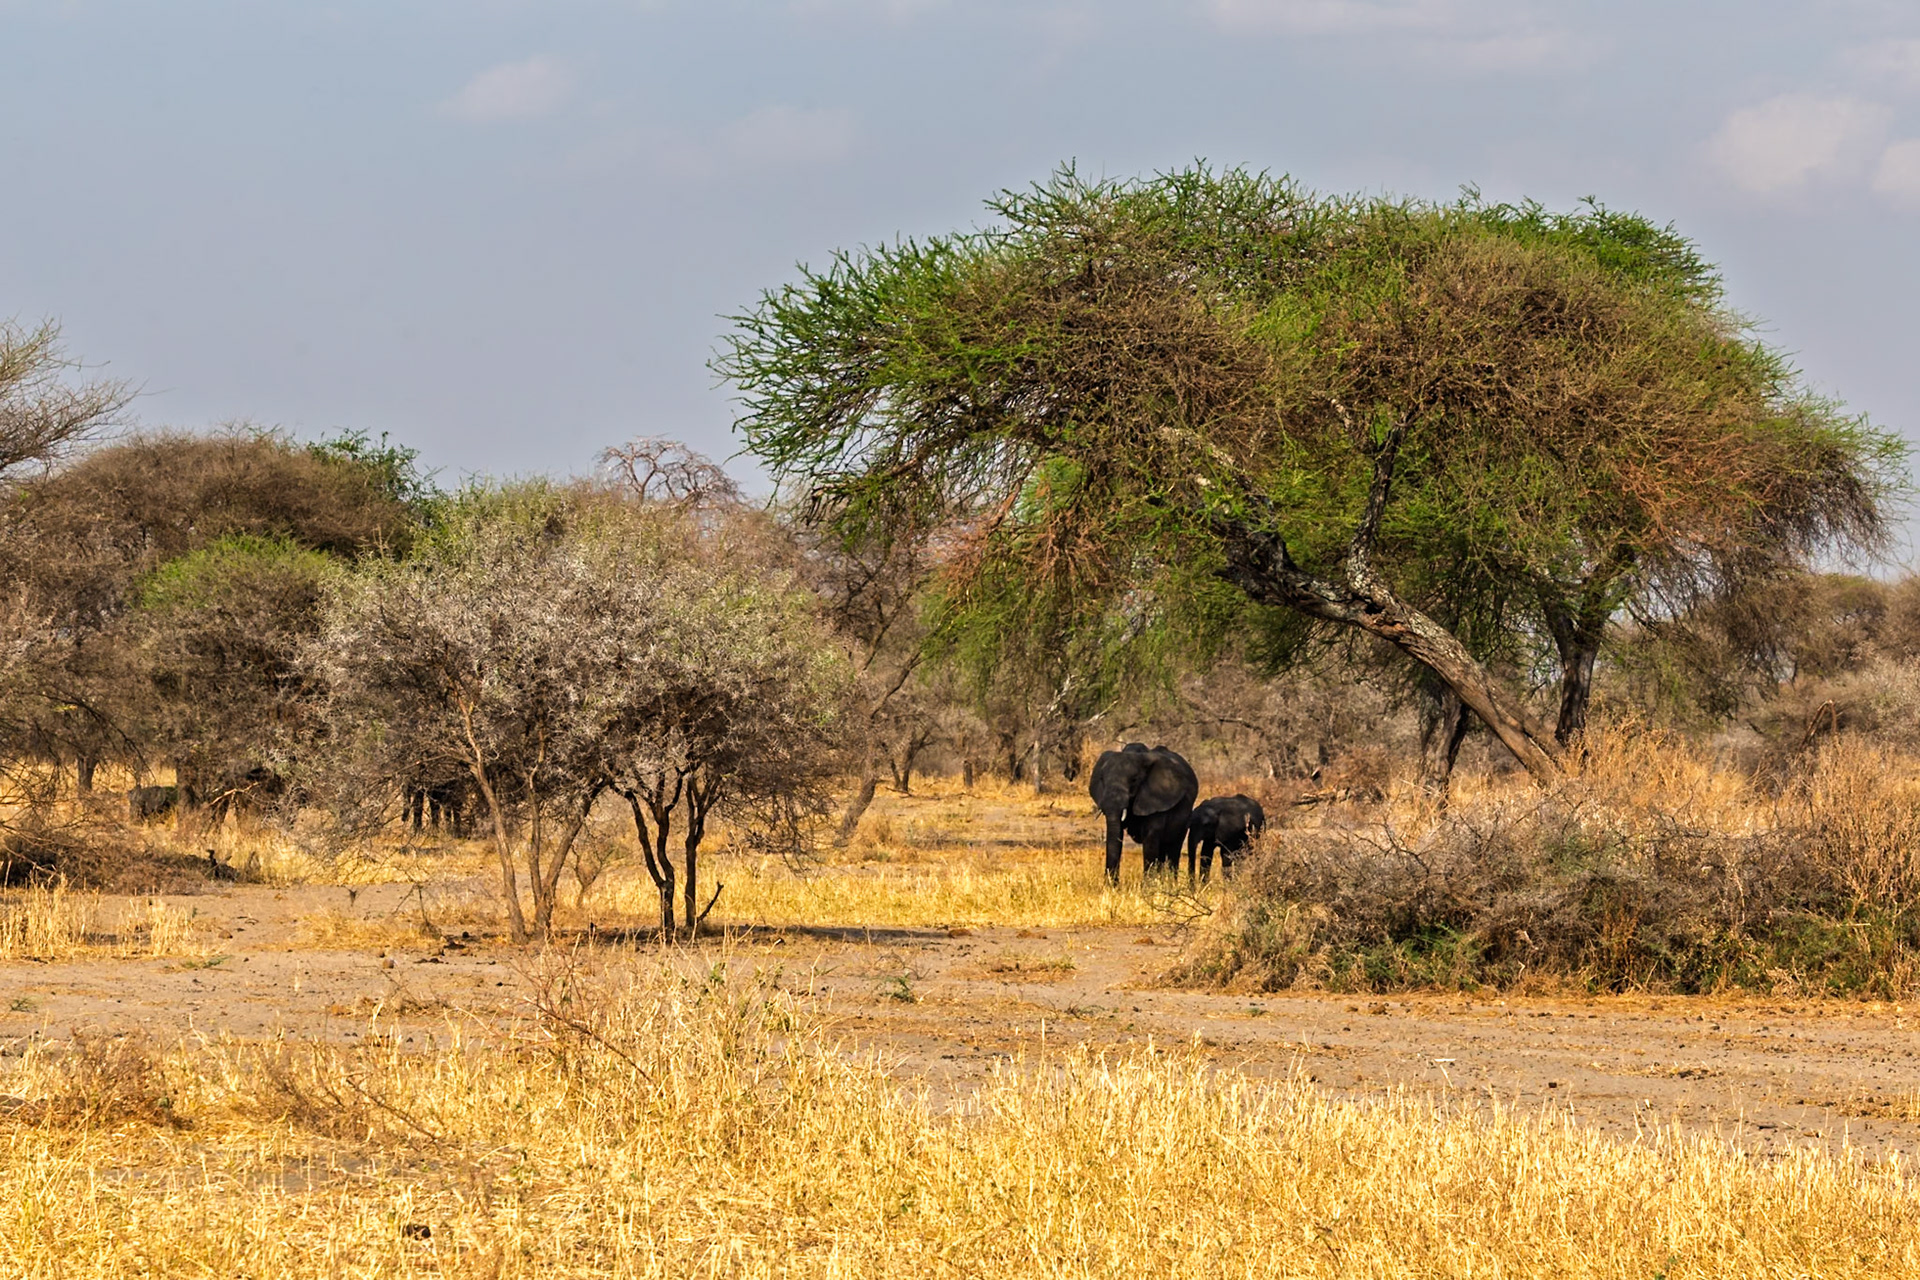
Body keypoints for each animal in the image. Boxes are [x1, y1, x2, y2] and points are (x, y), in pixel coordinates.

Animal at [1089, 743, 1199, 882]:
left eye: (1134, 780)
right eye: (1102, 780)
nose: (1111, 884)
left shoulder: (1157, 798)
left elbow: (1150, 838)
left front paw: (1148, 886)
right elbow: (1117, 833)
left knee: (1174, 848)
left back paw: (1169, 883)